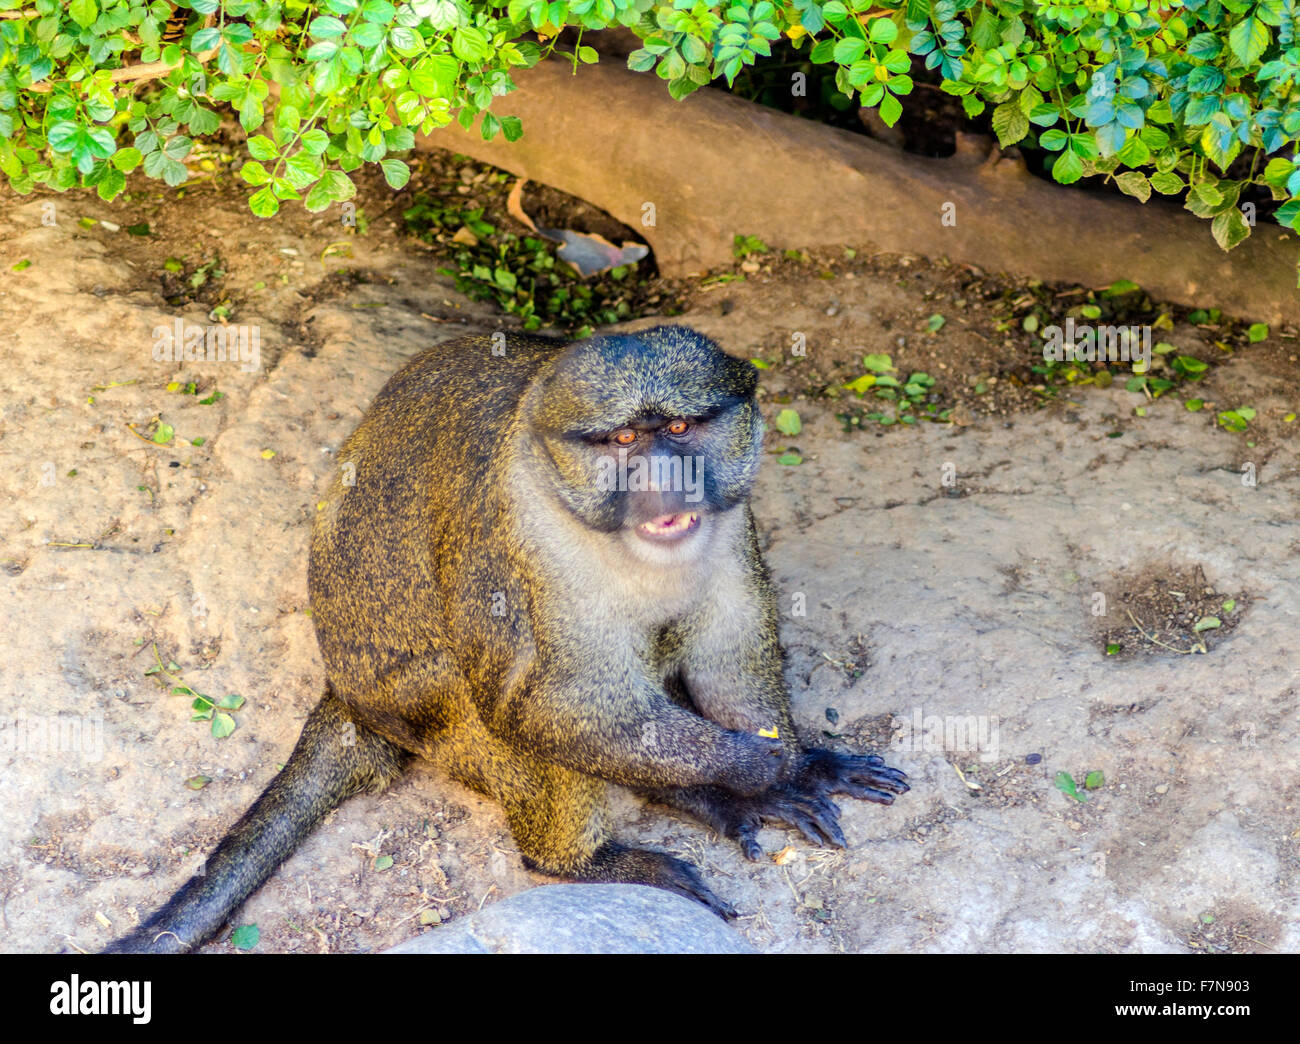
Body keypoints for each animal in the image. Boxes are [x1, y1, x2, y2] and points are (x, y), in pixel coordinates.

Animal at [106, 328, 909, 956]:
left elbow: (730, 651)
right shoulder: (509, 529)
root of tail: (346, 697)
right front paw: (754, 768)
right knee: (517, 711)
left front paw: (790, 767)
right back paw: (581, 859)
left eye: (680, 431)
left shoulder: (731, 515)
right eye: (623, 440)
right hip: (430, 715)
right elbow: (537, 703)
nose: (666, 478)